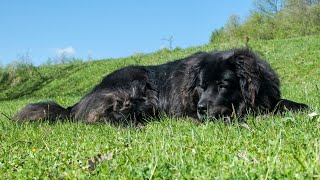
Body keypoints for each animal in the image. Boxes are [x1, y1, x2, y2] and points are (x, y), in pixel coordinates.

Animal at [14, 48, 308, 123]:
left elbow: (280, 103)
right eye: (201, 86)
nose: (201, 108)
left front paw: (299, 106)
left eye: (223, 84)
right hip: (137, 88)